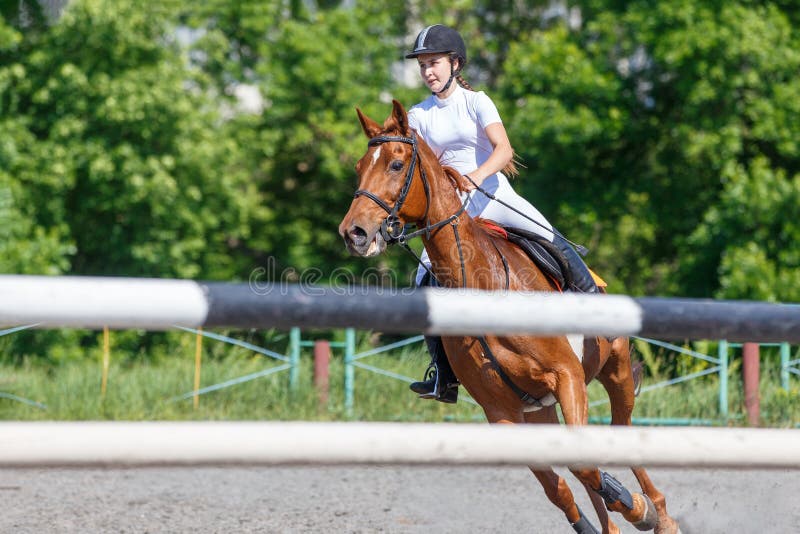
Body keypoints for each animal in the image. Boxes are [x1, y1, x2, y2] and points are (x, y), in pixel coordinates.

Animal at [338, 101, 680, 534]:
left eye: (396, 165)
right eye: (360, 166)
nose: (354, 233)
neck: (483, 284)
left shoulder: (567, 376)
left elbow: (585, 466)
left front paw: (637, 508)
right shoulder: (502, 413)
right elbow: (562, 483)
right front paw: (607, 511)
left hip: (614, 368)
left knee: (622, 431)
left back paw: (660, 514)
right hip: (542, 409)